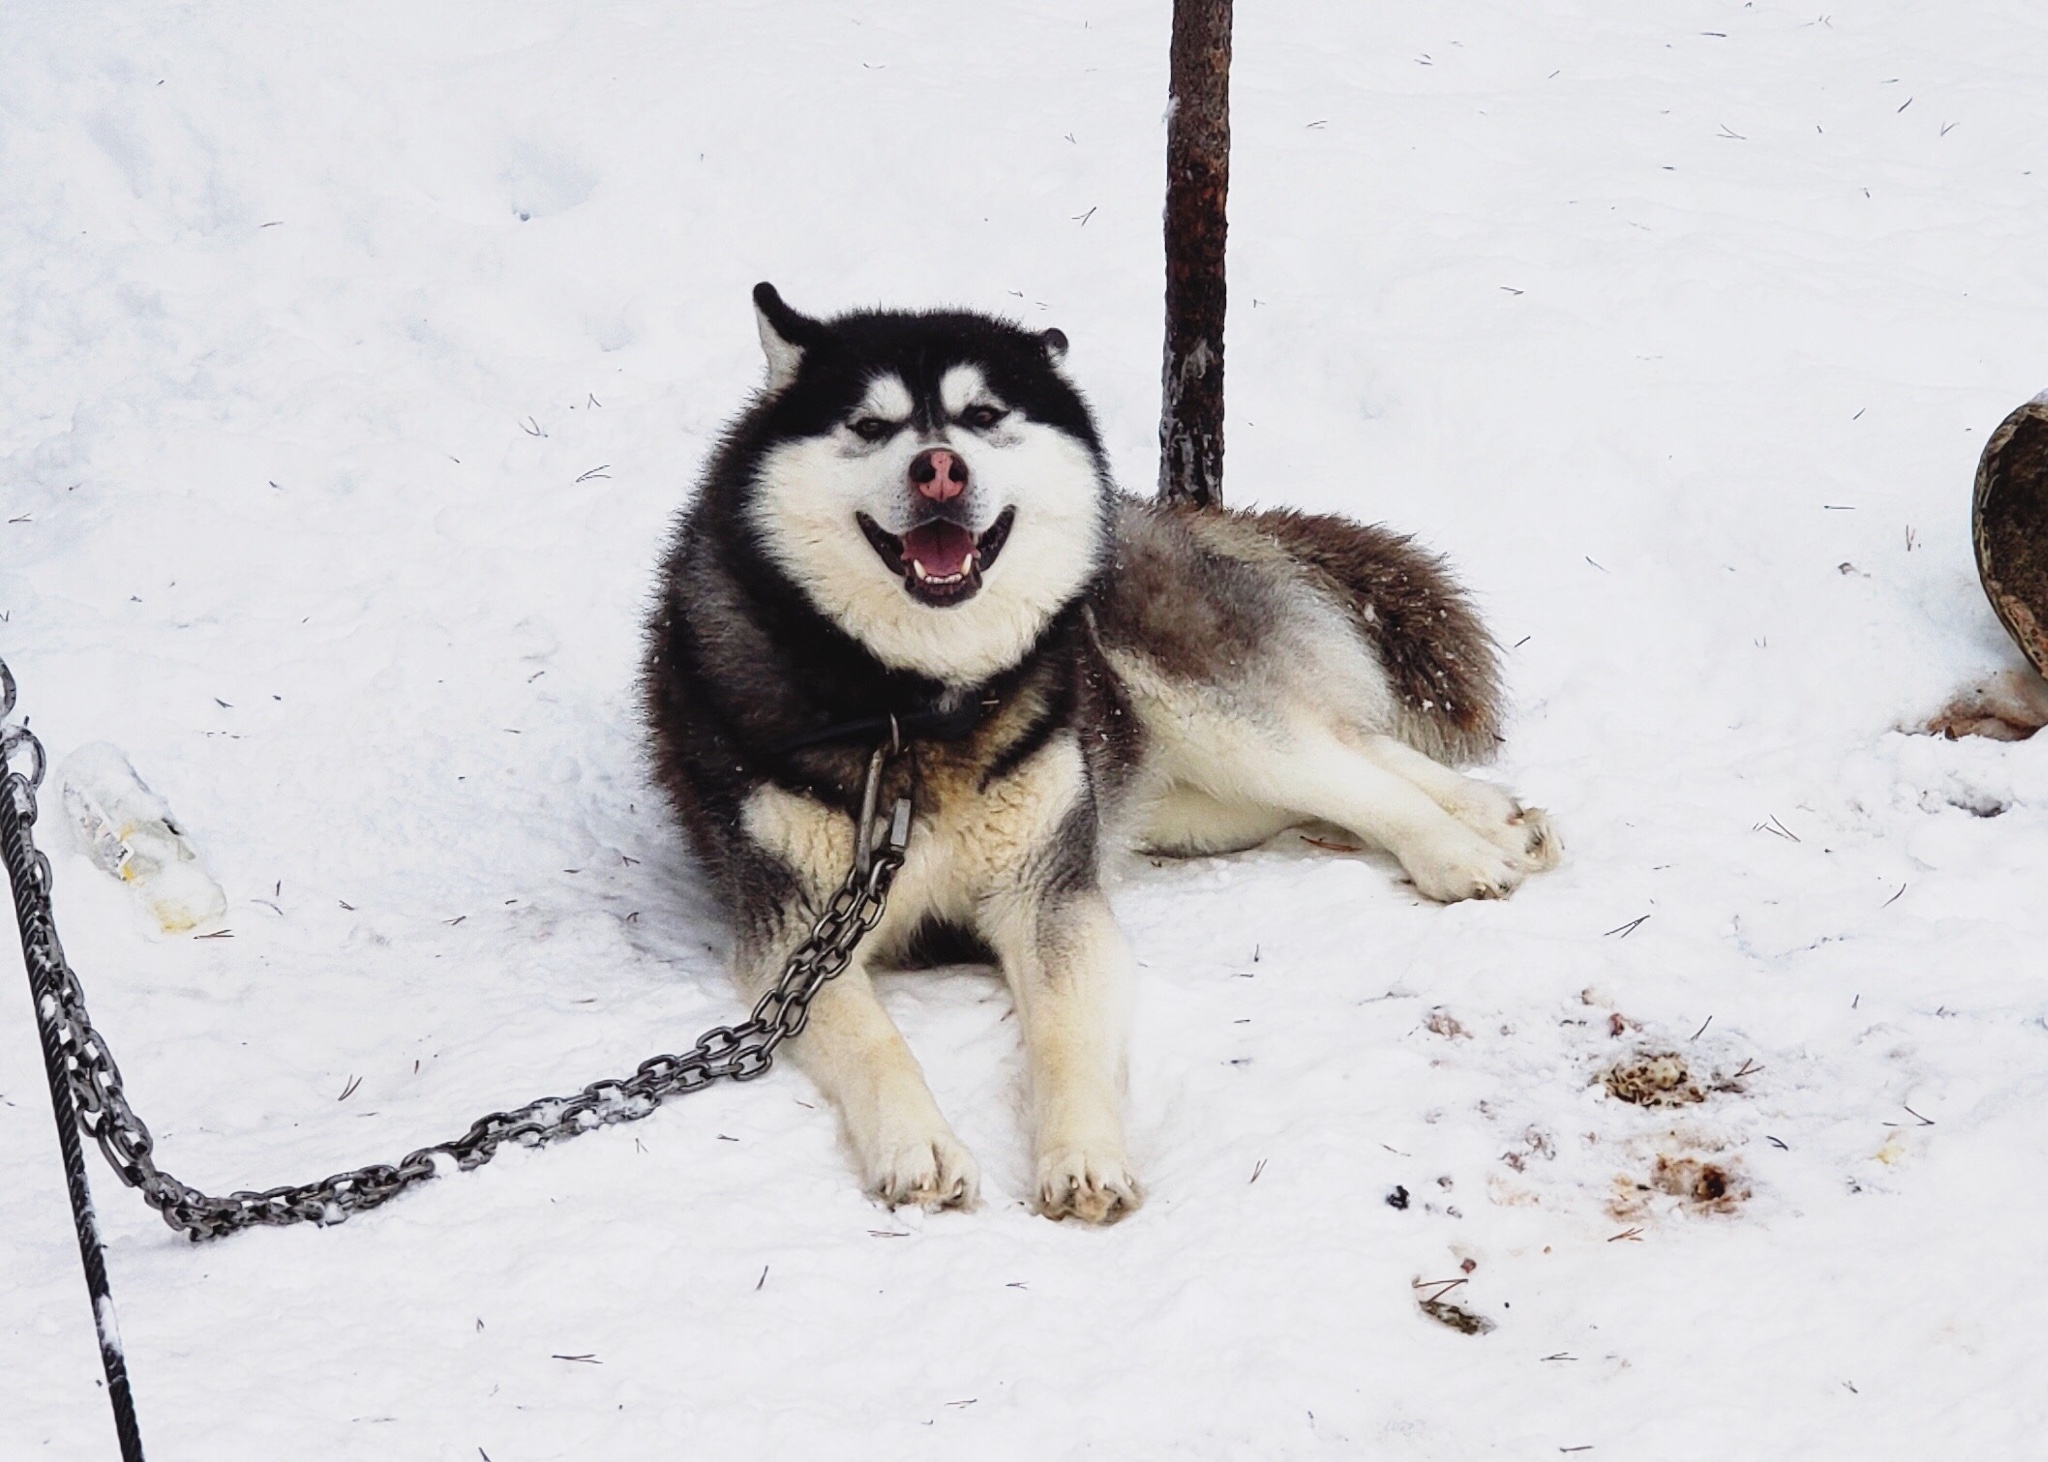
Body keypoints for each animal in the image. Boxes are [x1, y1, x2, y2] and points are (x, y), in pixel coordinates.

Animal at [638, 284, 1548, 1220]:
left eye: (984, 415)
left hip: (1205, 709)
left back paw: (1462, 847)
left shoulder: (1052, 895)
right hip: (1188, 797)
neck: (917, 708)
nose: (939, 468)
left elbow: (1068, 1038)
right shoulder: (796, 936)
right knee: (1350, 746)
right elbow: (876, 1046)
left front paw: (1083, 1155)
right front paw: (920, 1145)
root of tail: (1176, 516)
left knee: (1347, 760)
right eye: (869, 424)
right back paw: (1495, 815)